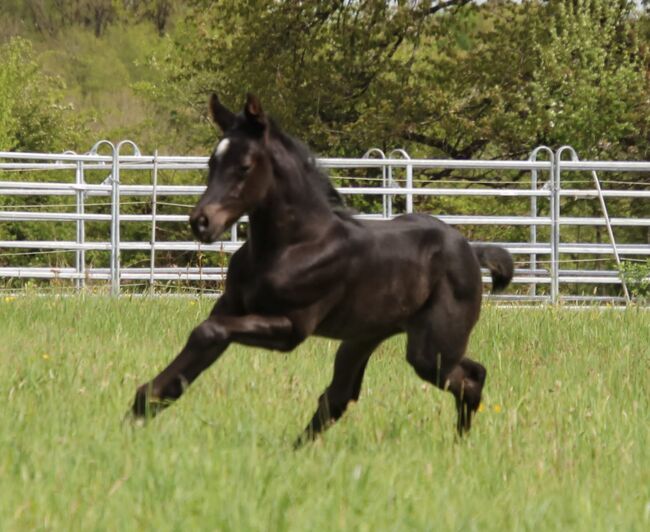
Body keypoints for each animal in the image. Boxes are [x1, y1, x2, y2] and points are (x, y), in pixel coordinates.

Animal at [132, 92, 512, 444]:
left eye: (244, 166)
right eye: (212, 162)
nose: (201, 222)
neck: (292, 246)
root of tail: (471, 250)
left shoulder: (292, 327)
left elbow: (208, 331)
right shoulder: (231, 308)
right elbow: (203, 340)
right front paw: (140, 408)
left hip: (430, 348)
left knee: (470, 378)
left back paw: (459, 445)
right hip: (362, 339)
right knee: (340, 396)